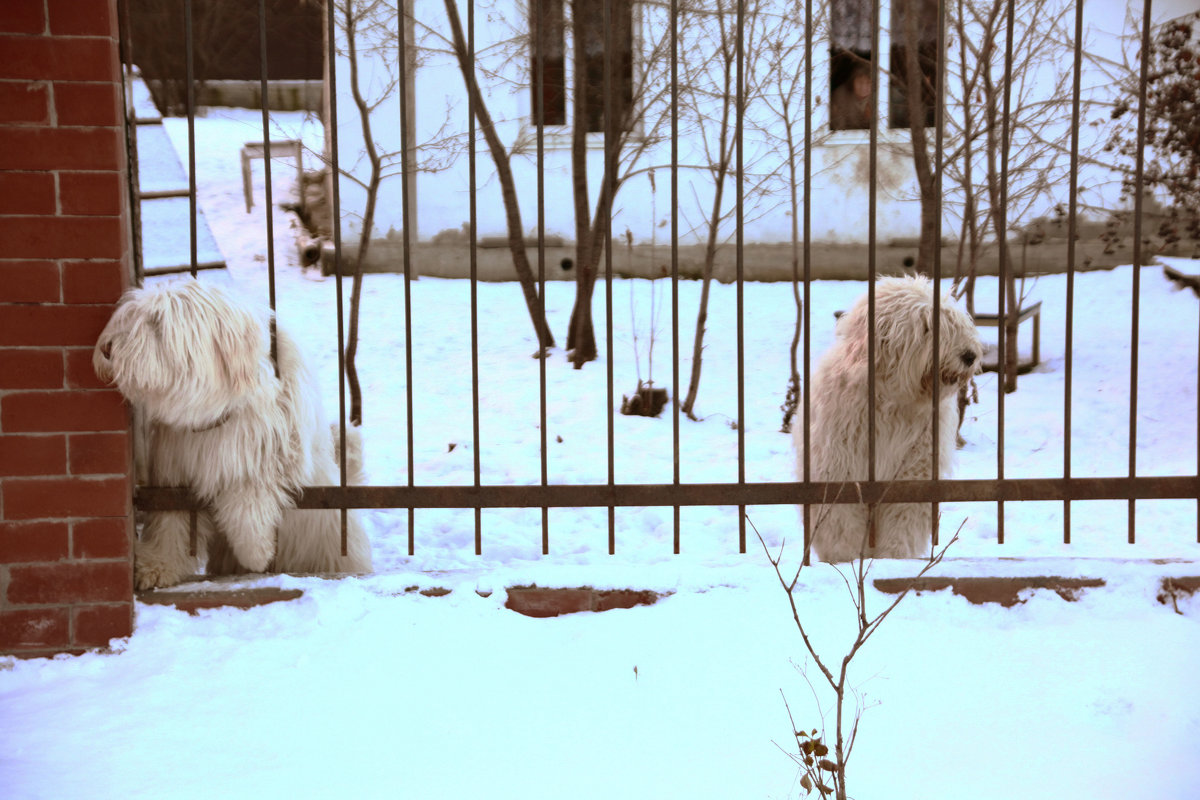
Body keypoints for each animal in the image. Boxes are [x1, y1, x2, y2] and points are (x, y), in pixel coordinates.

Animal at [95, 280, 369, 587]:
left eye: (156, 322)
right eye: (129, 317)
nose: (106, 349)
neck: (220, 409)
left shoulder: (272, 452)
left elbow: (246, 501)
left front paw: (256, 554)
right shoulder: (174, 473)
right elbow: (172, 520)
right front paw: (156, 565)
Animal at [792, 275, 979, 563]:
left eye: (954, 322)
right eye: (927, 326)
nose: (970, 355)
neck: (893, 400)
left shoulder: (914, 469)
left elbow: (903, 520)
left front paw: (894, 557)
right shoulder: (840, 465)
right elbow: (840, 523)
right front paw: (844, 560)